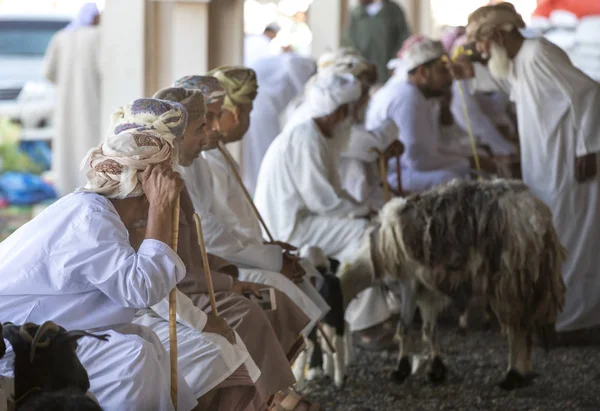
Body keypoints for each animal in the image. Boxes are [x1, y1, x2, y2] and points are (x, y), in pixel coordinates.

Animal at [338, 179, 568, 390]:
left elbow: (404, 326)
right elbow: (429, 329)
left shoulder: (409, 282)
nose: (339, 377)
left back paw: (512, 376)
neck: (373, 256)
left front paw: (400, 370)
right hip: (526, 283)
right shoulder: (427, 290)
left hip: (508, 279)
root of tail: (537, 214)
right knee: (524, 325)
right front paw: (436, 370)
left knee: (516, 328)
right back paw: (525, 373)